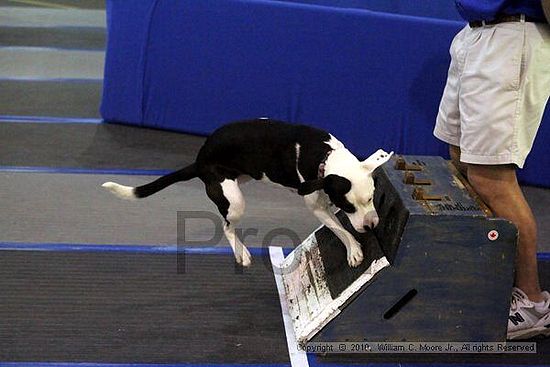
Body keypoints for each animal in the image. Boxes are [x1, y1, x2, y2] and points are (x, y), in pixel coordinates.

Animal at [103, 120, 394, 268]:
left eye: (370, 198)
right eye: (348, 207)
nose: (371, 225)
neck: (325, 156)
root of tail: (200, 160)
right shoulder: (317, 207)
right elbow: (340, 229)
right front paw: (353, 249)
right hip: (233, 201)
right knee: (227, 226)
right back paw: (240, 252)